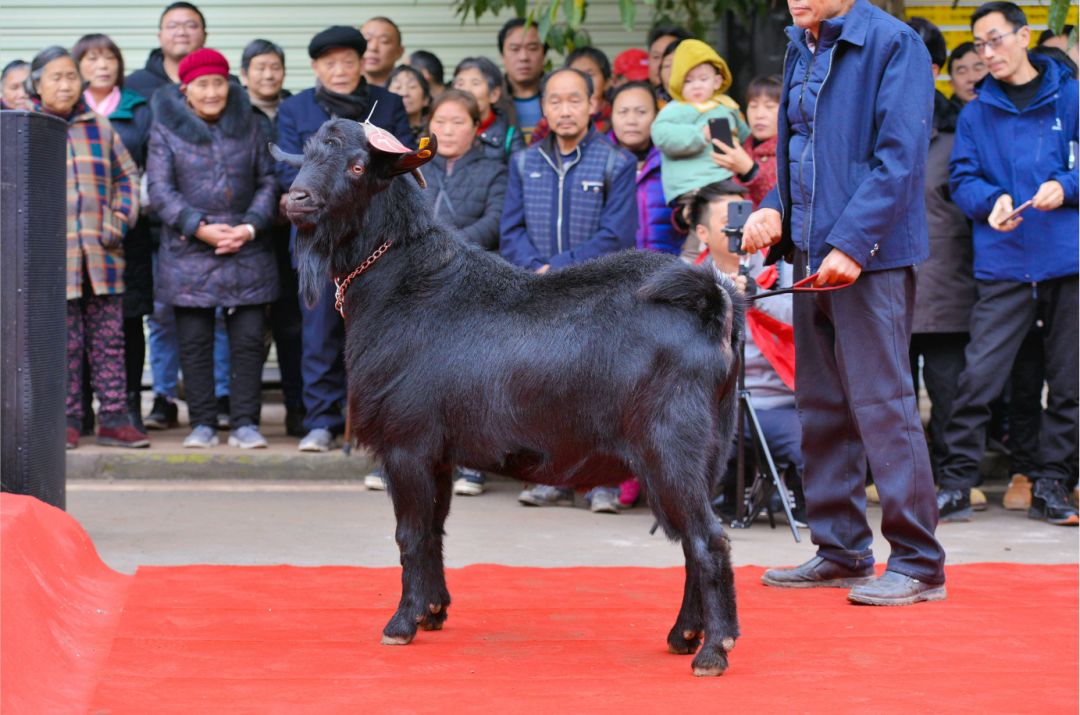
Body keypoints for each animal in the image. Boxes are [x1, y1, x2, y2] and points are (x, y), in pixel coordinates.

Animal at [272, 118, 743, 678]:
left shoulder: (406, 444)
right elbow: (434, 529)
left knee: (708, 538)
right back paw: (684, 635)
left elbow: (410, 534)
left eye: (358, 166)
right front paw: (434, 611)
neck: (404, 283)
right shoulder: (438, 453)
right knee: (692, 539)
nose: (296, 199)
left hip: (670, 447)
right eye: (305, 155)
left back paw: (713, 650)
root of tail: (713, 304)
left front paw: (401, 624)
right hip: (711, 451)